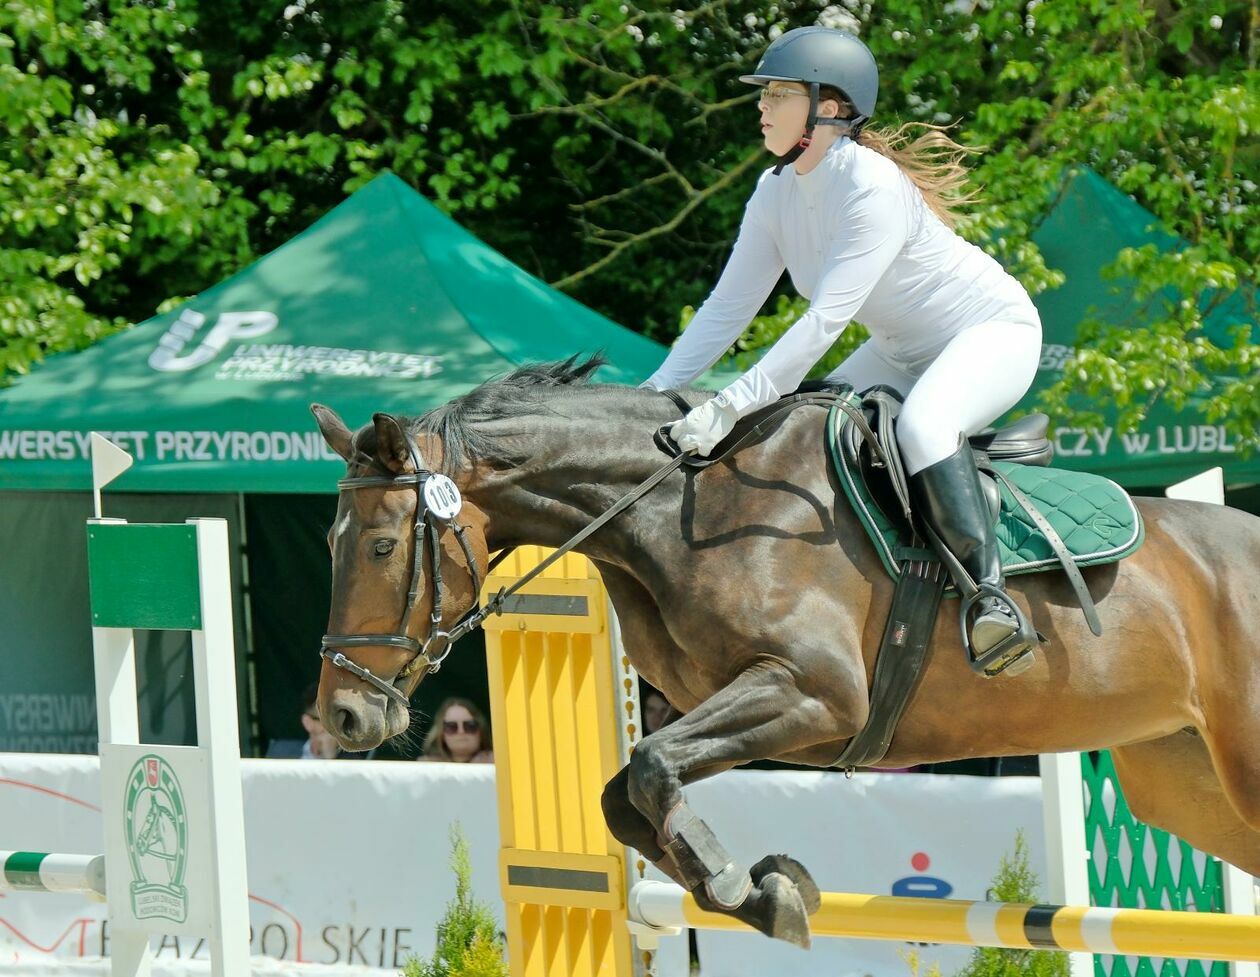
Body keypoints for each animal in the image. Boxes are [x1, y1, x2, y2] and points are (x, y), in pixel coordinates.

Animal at [309, 358, 1260, 948]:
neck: (680, 512)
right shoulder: (753, 710)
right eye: (330, 541)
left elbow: (652, 766)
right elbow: (628, 795)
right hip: (1190, 787)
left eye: (384, 545)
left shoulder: (812, 695)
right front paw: (766, 889)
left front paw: (743, 886)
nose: (343, 714)